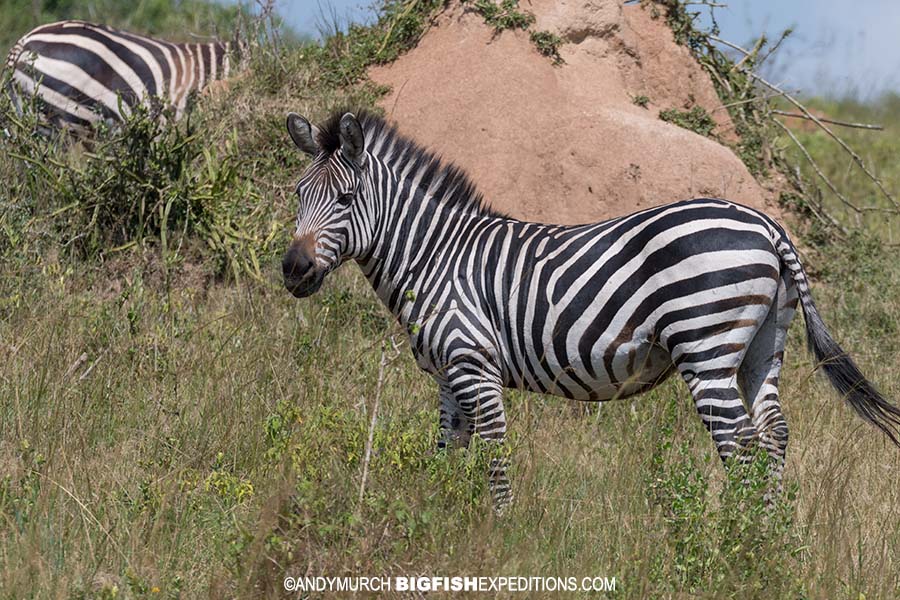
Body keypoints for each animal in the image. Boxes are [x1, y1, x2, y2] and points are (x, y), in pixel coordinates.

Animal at [280, 109, 900, 511]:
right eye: (297, 194)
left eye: (345, 199)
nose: (291, 269)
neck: (435, 255)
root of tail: (768, 225)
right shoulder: (446, 375)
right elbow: (447, 454)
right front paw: (437, 517)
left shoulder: (474, 365)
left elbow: (495, 455)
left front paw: (499, 528)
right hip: (761, 349)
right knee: (774, 434)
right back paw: (767, 539)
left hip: (707, 349)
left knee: (742, 446)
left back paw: (733, 545)